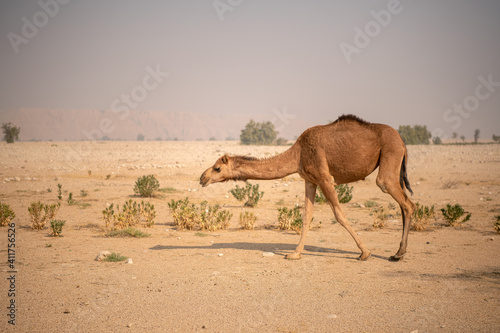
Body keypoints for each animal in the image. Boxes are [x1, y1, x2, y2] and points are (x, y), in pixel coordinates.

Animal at [201, 115, 416, 260]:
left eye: (217, 168)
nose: (202, 178)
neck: (298, 153)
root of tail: (402, 140)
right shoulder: (310, 181)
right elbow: (306, 216)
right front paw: (295, 254)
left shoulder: (325, 178)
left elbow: (339, 214)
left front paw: (365, 252)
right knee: (404, 203)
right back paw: (399, 252)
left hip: (390, 156)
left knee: (404, 201)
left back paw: (398, 254)